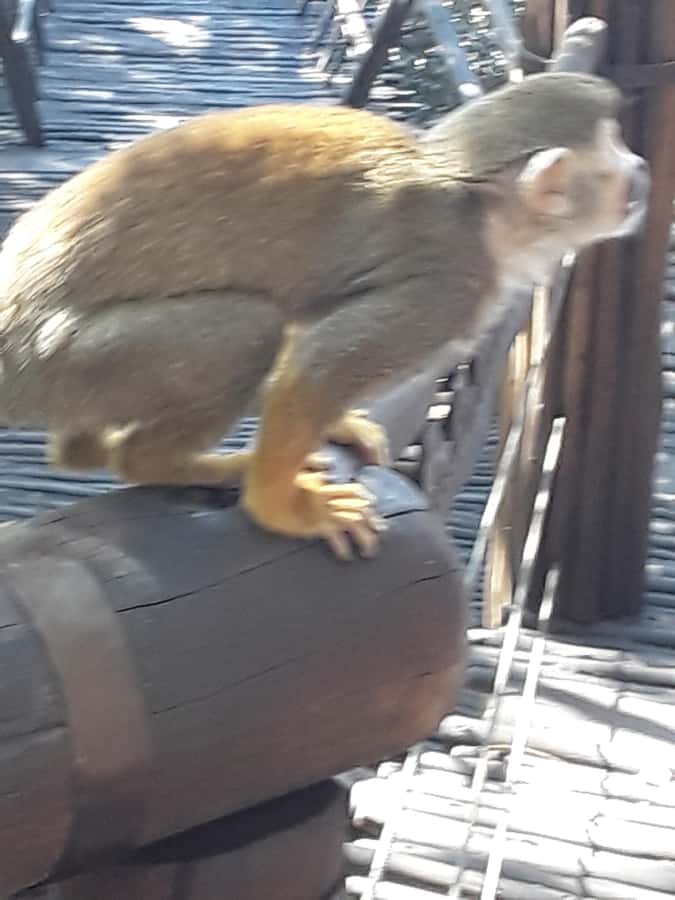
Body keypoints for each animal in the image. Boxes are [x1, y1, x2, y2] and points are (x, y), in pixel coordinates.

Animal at [0, 72, 650, 560]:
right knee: (247, 330)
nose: (642, 170)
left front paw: (339, 425)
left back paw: (87, 451)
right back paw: (166, 462)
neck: (478, 203)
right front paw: (280, 509)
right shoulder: (451, 284)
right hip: (61, 360)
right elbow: (320, 365)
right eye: (616, 156)